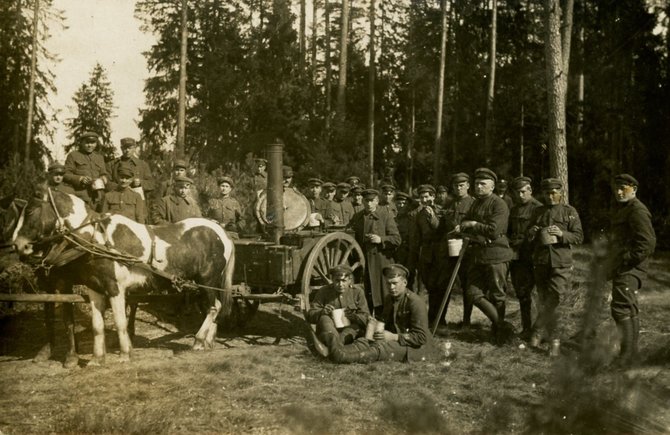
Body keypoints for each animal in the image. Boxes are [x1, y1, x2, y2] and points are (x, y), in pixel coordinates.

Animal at [9, 189, 236, 366]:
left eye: (30, 211)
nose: (17, 245)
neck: (96, 239)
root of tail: (221, 232)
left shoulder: (115, 288)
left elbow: (120, 322)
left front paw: (125, 354)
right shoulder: (95, 289)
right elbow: (97, 325)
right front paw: (96, 359)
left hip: (207, 281)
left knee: (213, 307)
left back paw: (198, 340)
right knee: (216, 306)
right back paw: (208, 341)